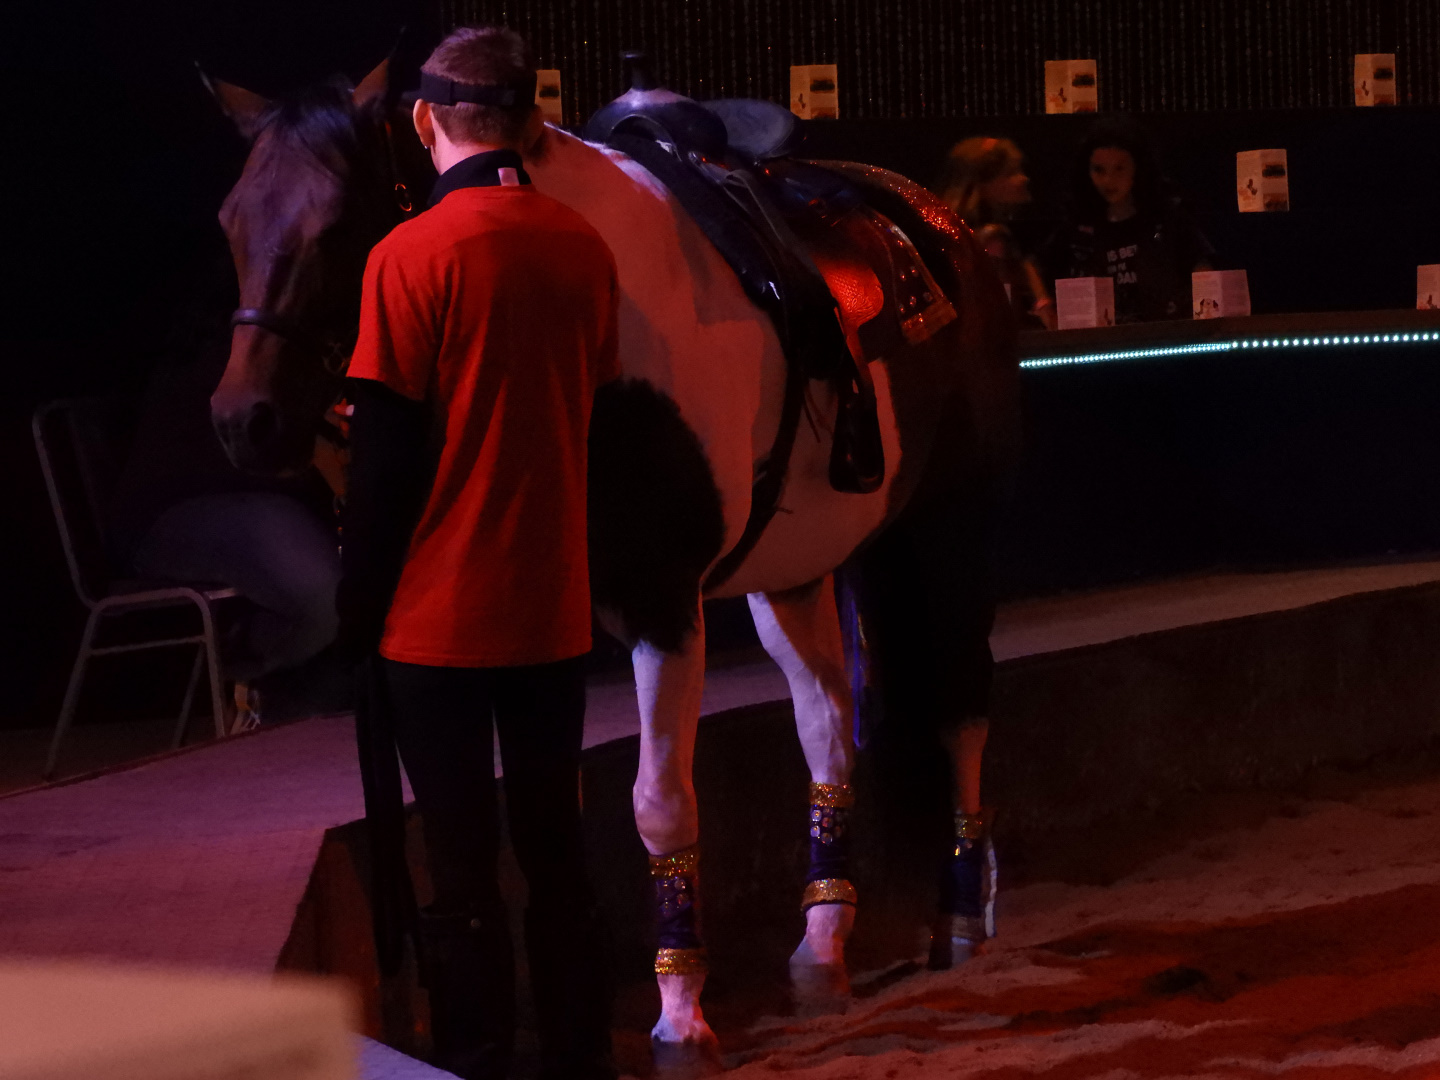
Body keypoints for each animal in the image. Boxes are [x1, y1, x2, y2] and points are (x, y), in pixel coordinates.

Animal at [206, 60, 1019, 1067]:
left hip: (952, 524)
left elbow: (659, 803)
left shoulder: (662, 605)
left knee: (962, 705)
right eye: (232, 220)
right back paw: (823, 944)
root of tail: (934, 225)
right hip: (800, 568)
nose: (245, 422)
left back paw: (961, 913)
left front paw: (681, 1016)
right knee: (830, 726)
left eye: (331, 224)